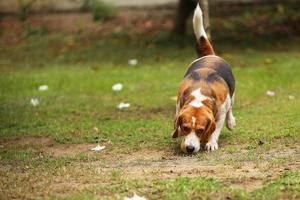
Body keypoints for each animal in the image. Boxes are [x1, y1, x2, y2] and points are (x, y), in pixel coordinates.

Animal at [172, 5, 236, 155]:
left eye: (201, 130)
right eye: (185, 127)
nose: (190, 149)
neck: (200, 93)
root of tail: (210, 55)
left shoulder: (220, 113)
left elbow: (215, 130)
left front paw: (211, 143)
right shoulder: (178, 106)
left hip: (232, 96)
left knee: (231, 108)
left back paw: (231, 122)